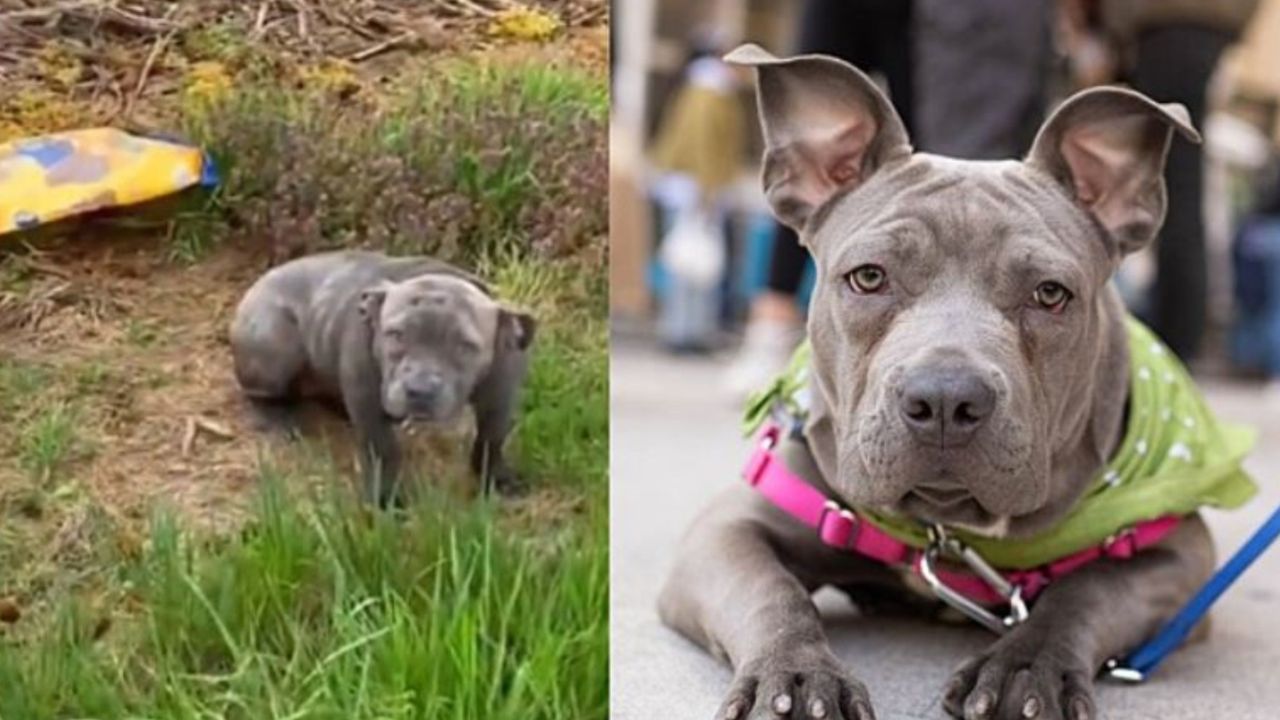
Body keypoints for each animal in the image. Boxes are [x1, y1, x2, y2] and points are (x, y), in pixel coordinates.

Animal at [227, 251, 532, 504]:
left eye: (466, 346)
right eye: (395, 334)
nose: (419, 389)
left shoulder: (502, 395)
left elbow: (492, 436)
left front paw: (498, 478)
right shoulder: (367, 399)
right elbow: (382, 448)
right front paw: (386, 498)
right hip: (273, 338)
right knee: (263, 392)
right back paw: (281, 419)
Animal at [660, 44, 1259, 717]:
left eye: (1050, 293)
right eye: (869, 277)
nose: (946, 398)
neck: (947, 529)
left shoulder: (1183, 557)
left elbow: (1090, 588)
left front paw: (1027, 666)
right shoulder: (728, 528)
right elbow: (771, 590)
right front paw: (794, 674)